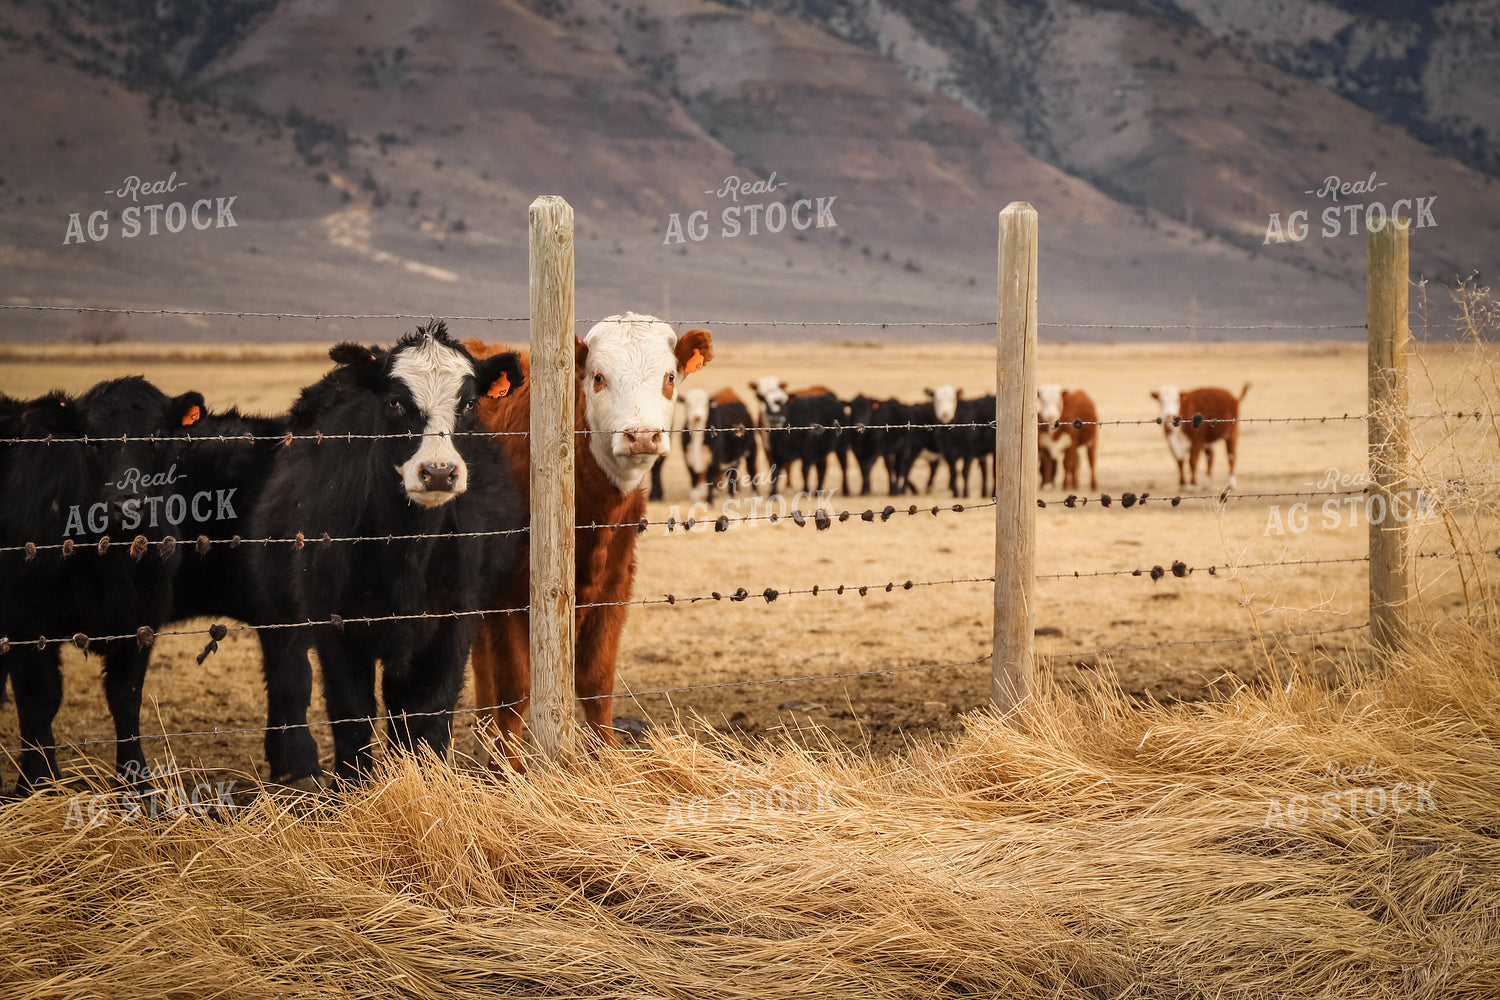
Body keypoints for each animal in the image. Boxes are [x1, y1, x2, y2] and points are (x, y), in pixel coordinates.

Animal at [0, 377, 204, 793]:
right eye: (91, 441)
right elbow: (39, 700)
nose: (126, 505)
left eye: (158, 435)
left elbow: (126, 697)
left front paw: (137, 784)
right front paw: (38, 785)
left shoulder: (142, 619)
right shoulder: (24, 620)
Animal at [249, 322, 526, 784]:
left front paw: (426, 780)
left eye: (469, 403)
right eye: (396, 401)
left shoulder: (454, 622)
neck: (406, 553)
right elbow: (351, 713)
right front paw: (355, 789)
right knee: (288, 676)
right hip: (281, 612)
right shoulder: (334, 626)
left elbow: (430, 712)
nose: (438, 472)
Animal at [465, 312, 713, 772]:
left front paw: (609, 761)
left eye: (670, 377)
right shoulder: (511, 594)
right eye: (598, 377)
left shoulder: (615, 584)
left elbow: (597, 679)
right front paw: (511, 772)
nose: (642, 436)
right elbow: (515, 687)